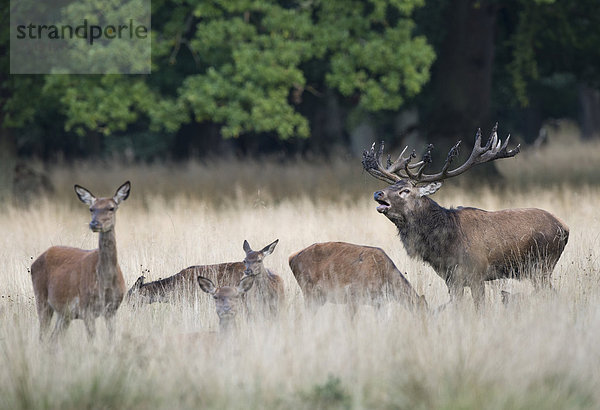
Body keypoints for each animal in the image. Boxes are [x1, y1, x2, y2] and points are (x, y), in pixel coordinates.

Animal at [29, 182, 131, 340]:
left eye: (111, 208)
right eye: (91, 209)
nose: (94, 224)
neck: (106, 283)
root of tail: (34, 263)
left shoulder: (112, 309)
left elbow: (112, 338)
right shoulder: (86, 307)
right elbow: (92, 338)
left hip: (64, 314)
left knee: (53, 338)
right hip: (41, 298)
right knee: (43, 336)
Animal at [364, 125, 568, 308]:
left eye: (405, 191)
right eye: (391, 186)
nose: (378, 193)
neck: (445, 246)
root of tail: (565, 228)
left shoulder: (477, 274)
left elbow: (480, 307)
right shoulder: (451, 279)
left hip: (542, 265)